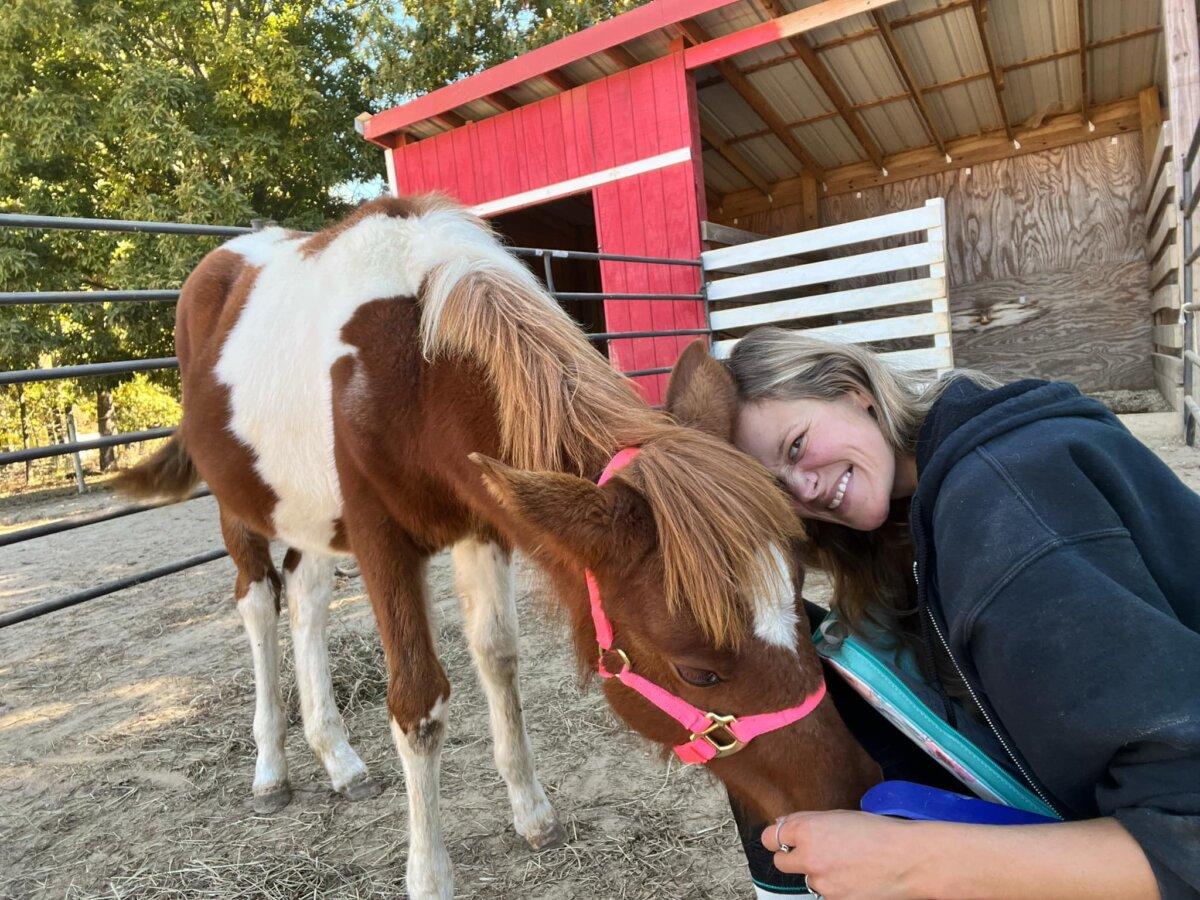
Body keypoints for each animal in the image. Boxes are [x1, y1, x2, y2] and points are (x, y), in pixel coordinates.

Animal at [116, 195, 879, 898]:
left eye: (801, 603)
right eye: (700, 673)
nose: (852, 794)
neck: (412, 364)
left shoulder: (483, 521)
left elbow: (499, 660)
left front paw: (531, 811)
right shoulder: (381, 541)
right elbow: (418, 704)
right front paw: (429, 876)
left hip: (307, 515)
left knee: (307, 602)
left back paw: (337, 758)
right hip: (240, 510)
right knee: (259, 605)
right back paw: (272, 769)